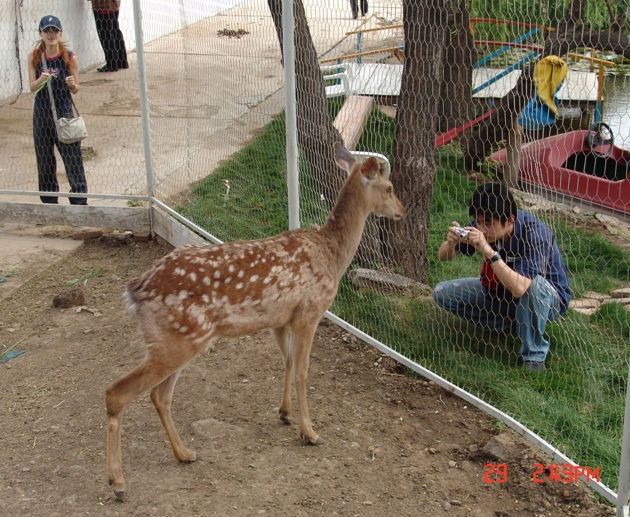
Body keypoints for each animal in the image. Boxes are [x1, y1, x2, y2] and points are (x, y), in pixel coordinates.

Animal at [106, 142, 408, 500]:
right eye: (389, 187)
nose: (402, 210)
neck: (333, 254)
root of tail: (135, 290)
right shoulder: (310, 312)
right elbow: (303, 372)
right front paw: (310, 432)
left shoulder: (280, 318)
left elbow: (287, 362)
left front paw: (284, 413)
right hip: (176, 339)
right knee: (117, 392)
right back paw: (118, 482)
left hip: (179, 340)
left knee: (159, 396)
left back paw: (184, 453)